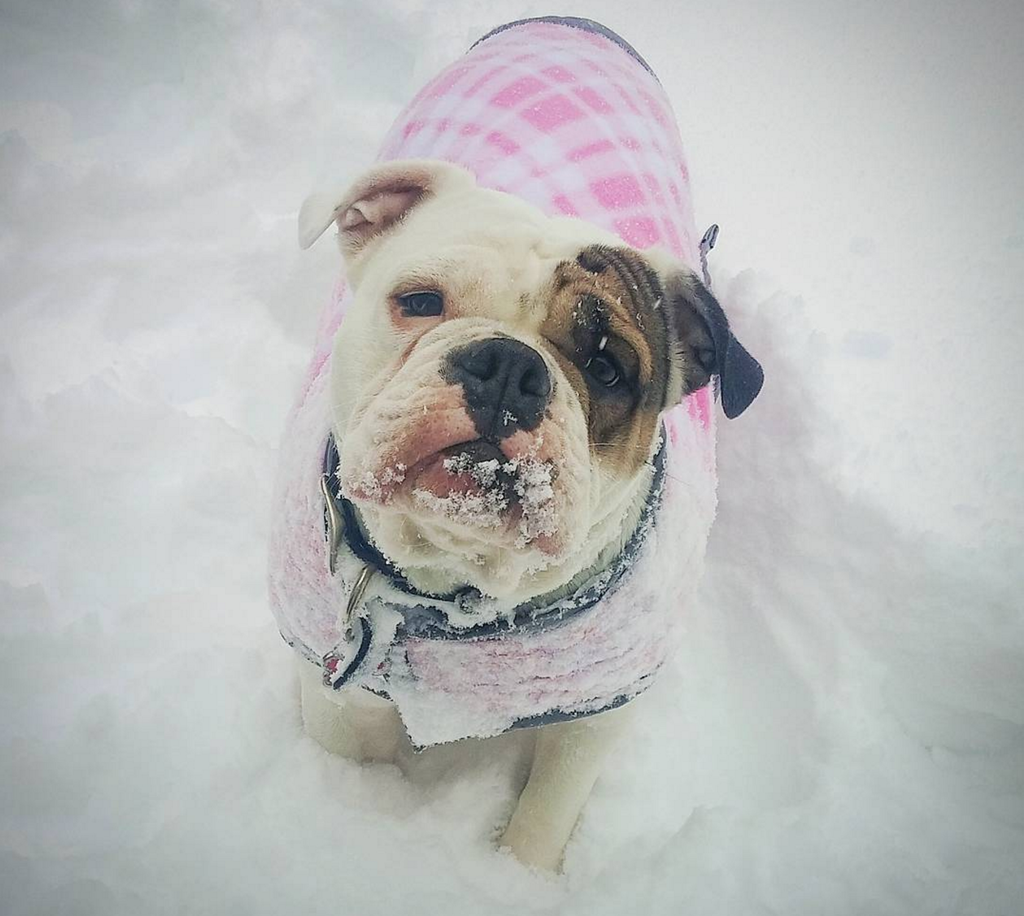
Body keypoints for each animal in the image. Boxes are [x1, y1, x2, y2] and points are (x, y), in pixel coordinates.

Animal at [268, 17, 765, 871]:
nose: (508, 366)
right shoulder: (333, 691)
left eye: (607, 366)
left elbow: (543, 817)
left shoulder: (594, 711)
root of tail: (567, 21)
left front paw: (517, 874)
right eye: (419, 301)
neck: (451, 590)